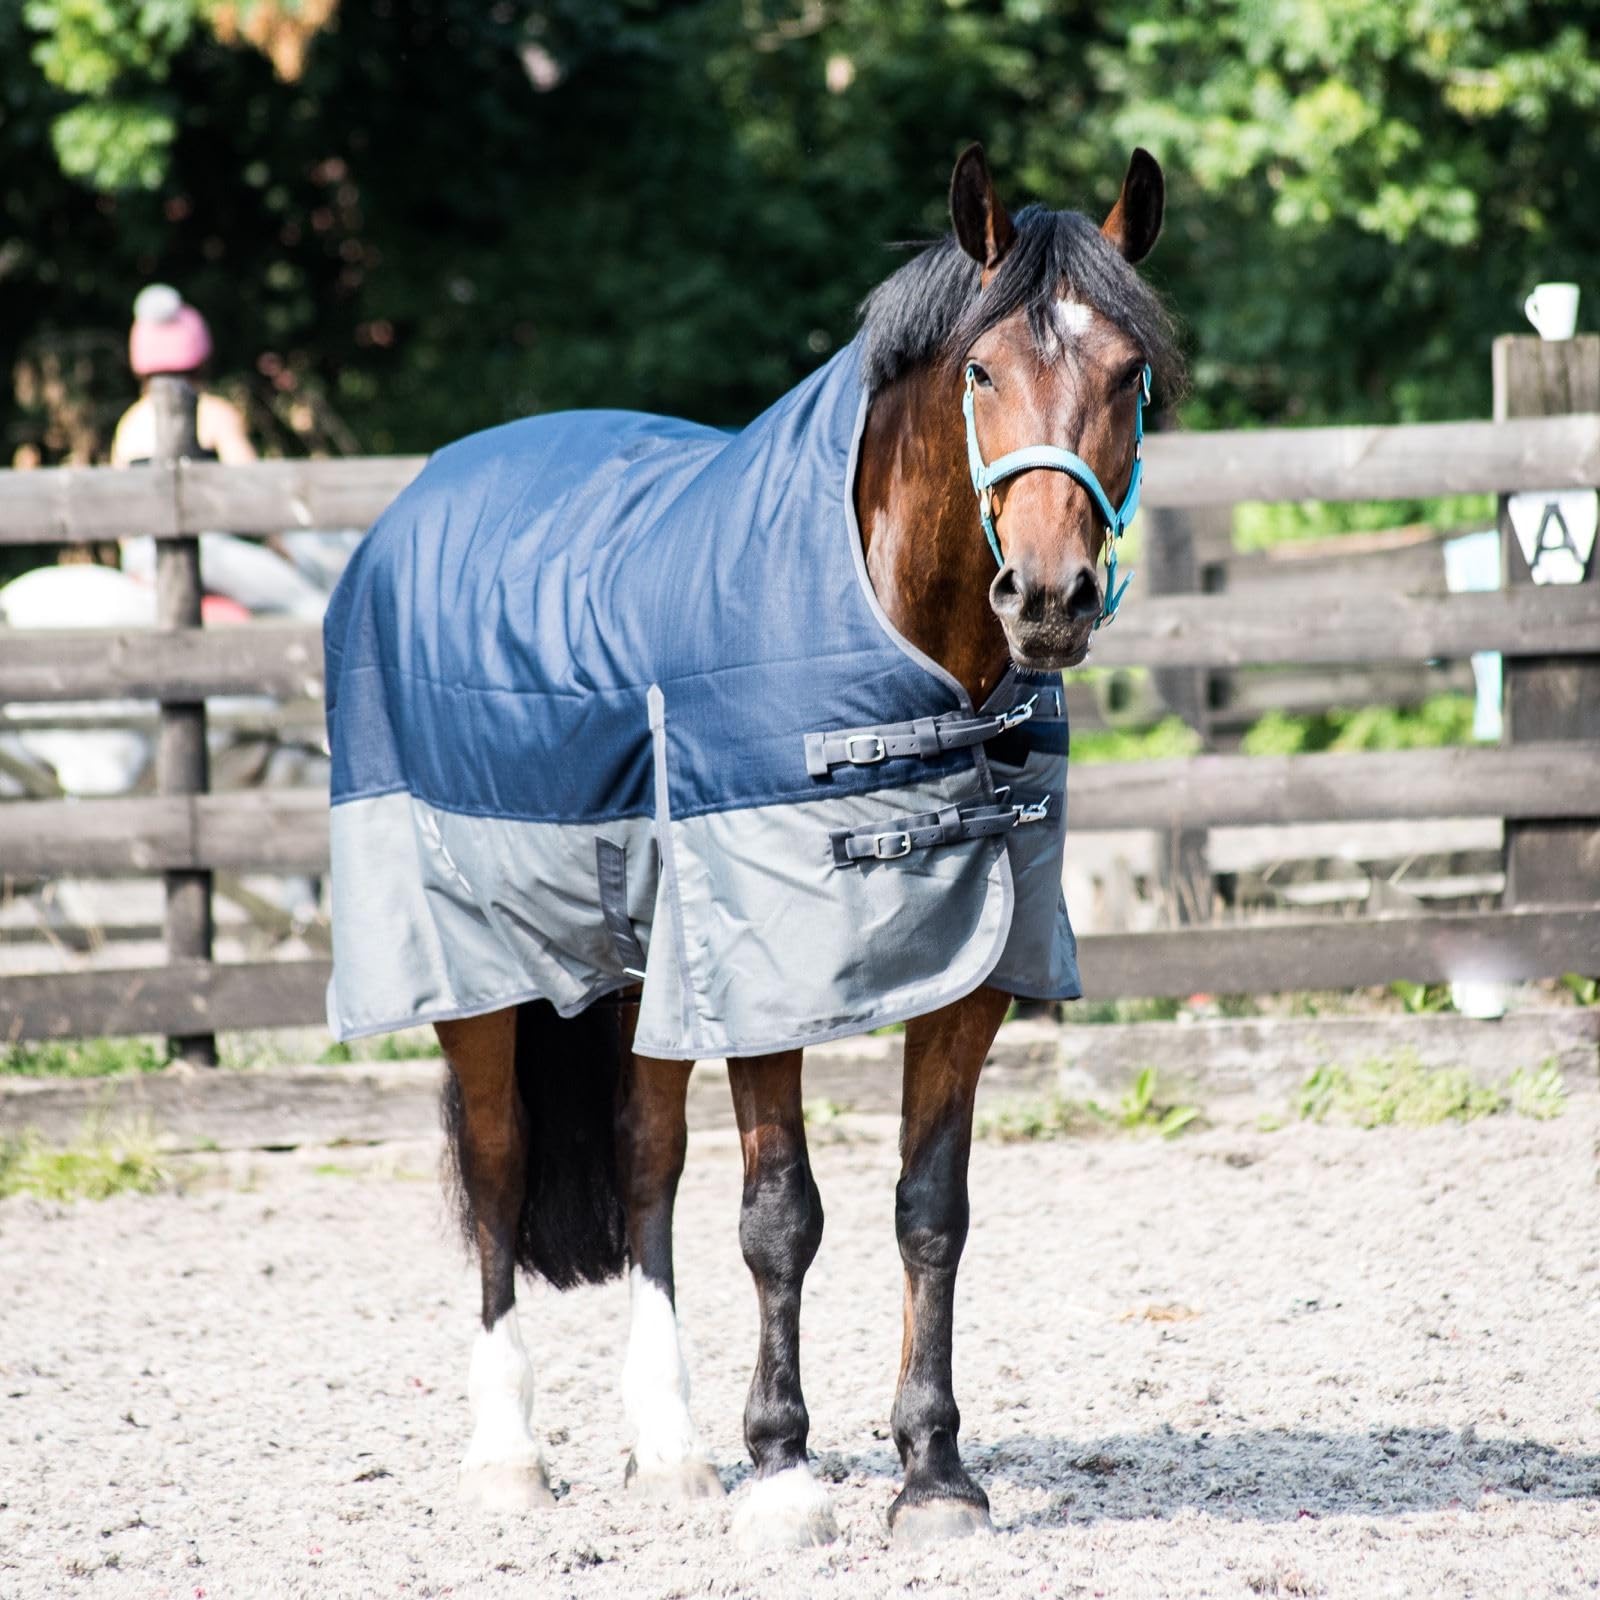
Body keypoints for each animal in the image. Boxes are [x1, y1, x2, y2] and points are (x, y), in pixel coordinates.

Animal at [322, 143, 1181, 1551]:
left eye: (1127, 372)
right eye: (980, 370)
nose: (1048, 597)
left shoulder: (972, 978)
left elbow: (928, 1213)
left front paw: (932, 1472)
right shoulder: (765, 970)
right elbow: (781, 1216)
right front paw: (782, 1466)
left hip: (637, 964)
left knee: (643, 1166)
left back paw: (667, 1449)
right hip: (475, 966)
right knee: (499, 1175)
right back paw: (509, 1456)